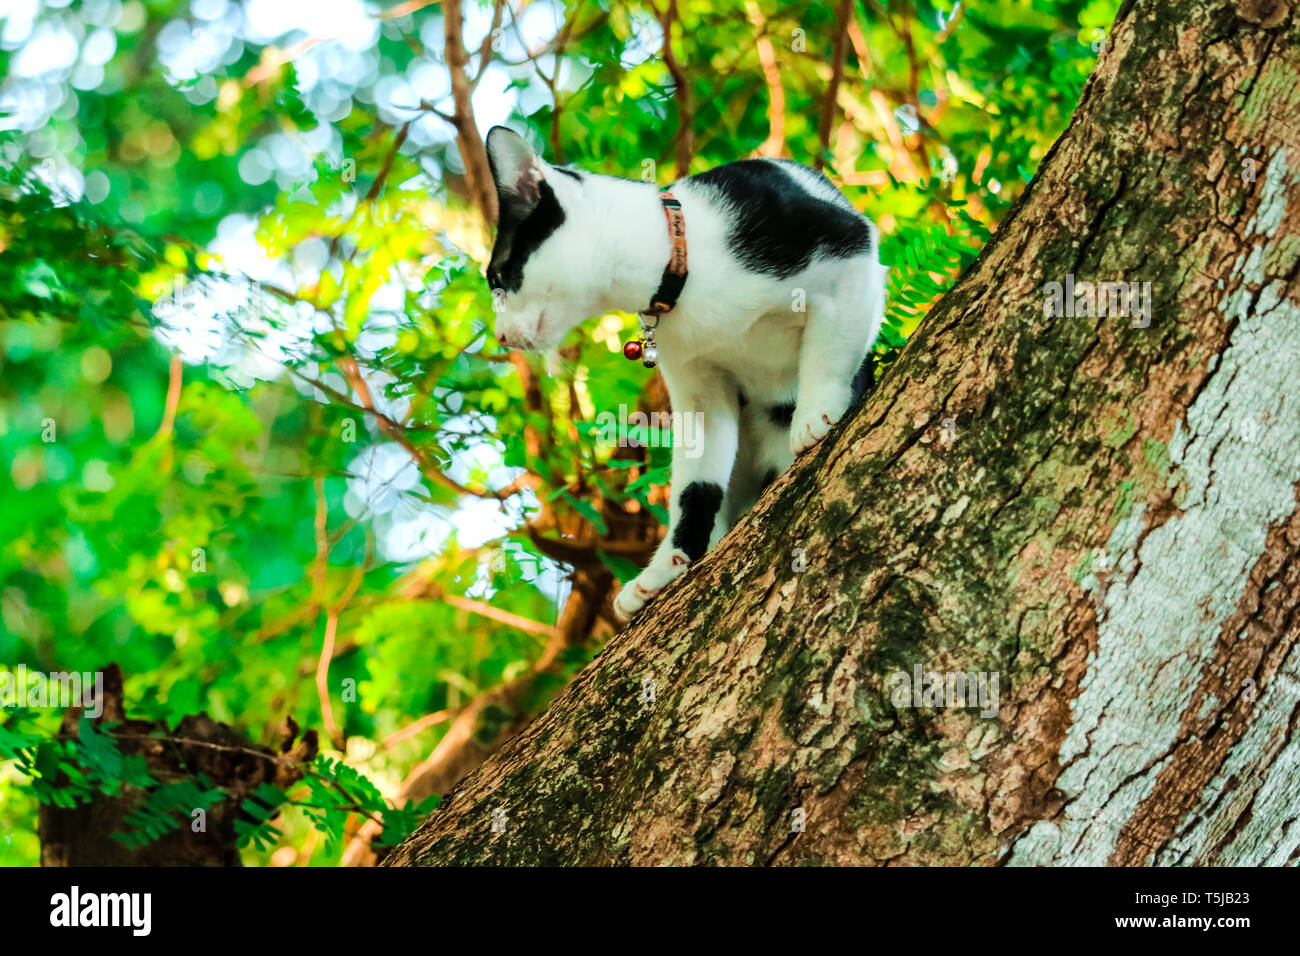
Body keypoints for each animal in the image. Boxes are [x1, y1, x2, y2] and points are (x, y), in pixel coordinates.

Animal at [483, 125, 889, 621]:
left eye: (498, 279)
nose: (501, 336)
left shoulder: (847, 246)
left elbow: (831, 348)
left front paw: (816, 413)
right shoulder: (697, 383)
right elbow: (697, 480)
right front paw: (668, 565)